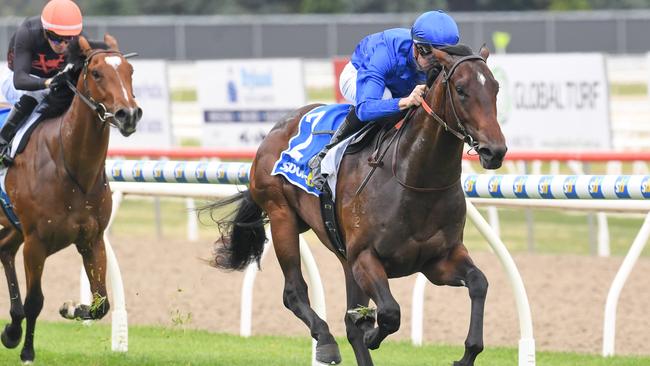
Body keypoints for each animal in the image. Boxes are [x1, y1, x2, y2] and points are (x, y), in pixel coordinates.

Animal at [0, 35, 140, 364]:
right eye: (97, 73)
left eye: (130, 71)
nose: (129, 115)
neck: (71, 166)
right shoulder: (36, 242)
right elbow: (35, 300)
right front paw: (28, 352)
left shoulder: (92, 239)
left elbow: (102, 302)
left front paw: (71, 308)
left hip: (13, 225)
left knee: (4, 250)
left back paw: (11, 329)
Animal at [210, 46, 504, 366]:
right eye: (461, 90)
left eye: (495, 88)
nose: (495, 150)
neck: (414, 180)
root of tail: (277, 129)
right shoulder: (365, 257)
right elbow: (389, 313)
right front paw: (372, 335)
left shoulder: (438, 261)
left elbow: (479, 282)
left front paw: (467, 354)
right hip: (282, 217)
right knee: (294, 292)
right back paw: (326, 341)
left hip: (342, 256)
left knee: (349, 321)